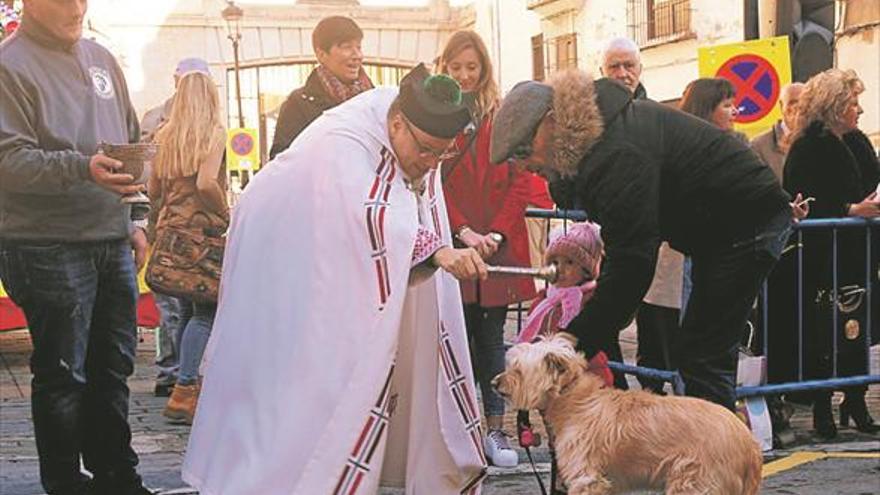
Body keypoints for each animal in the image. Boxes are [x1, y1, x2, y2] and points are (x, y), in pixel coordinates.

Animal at [492, 336, 760, 494]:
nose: (494, 382)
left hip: (694, 483)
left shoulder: (587, 478)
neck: (573, 397)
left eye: (517, 370)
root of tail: (749, 444)